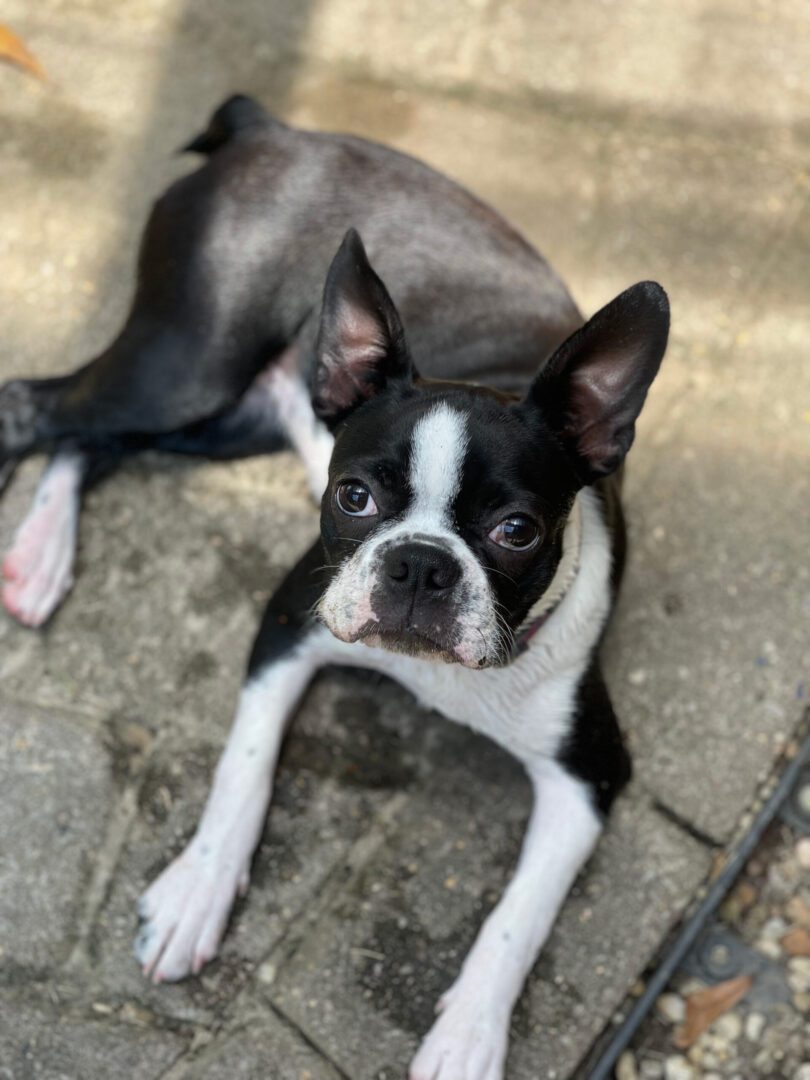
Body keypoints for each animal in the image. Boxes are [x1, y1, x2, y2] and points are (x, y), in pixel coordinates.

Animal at [0, 97, 669, 1075]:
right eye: (353, 497)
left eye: (517, 532)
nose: (420, 562)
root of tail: (271, 128)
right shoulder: (289, 618)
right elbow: (244, 765)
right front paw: (200, 890)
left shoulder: (588, 776)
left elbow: (519, 916)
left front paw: (469, 1033)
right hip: (187, 362)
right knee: (38, 409)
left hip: (221, 412)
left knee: (89, 436)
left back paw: (40, 557)